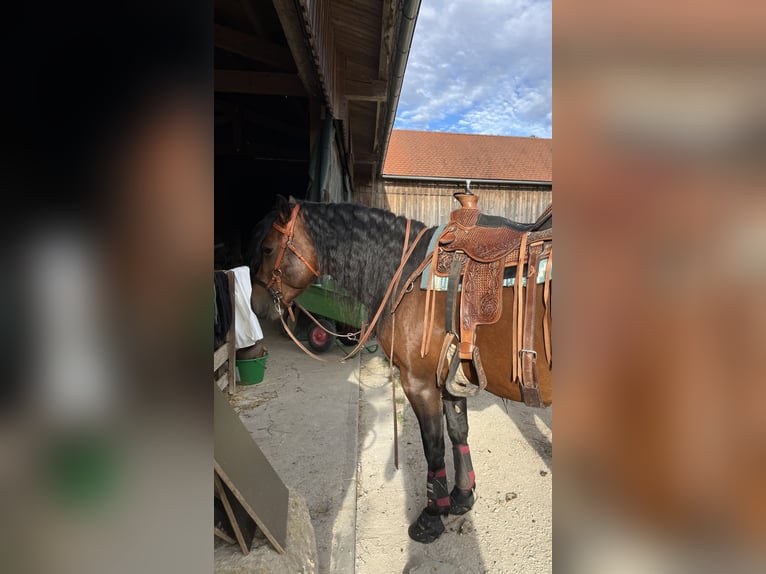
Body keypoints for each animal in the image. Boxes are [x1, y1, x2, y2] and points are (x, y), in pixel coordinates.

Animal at [250, 194, 552, 543]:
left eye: (267, 248)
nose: (256, 304)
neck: (406, 271)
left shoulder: (418, 384)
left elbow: (433, 447)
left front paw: (432, 516)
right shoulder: (449, 379)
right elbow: (457, 432)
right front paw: (462, 497)